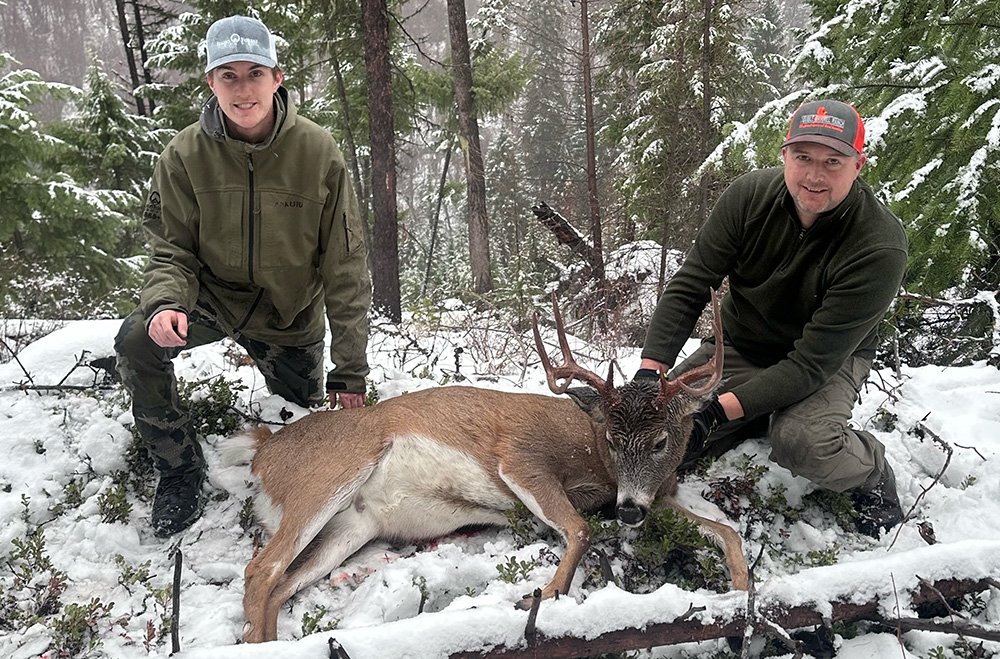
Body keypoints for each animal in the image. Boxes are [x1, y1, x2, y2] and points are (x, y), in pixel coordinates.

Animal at [227, 289, 748, 643]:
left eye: (662, 440)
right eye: (612, 440)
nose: (628, 513)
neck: (591, 456)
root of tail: (262, 451)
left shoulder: (645, 496)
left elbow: (727, 531)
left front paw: (743, 591)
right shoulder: (520, 456)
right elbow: (580, 529)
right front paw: (544, 594)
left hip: (352, 526)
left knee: (279, 584)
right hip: (333, 471)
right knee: (260, 568)